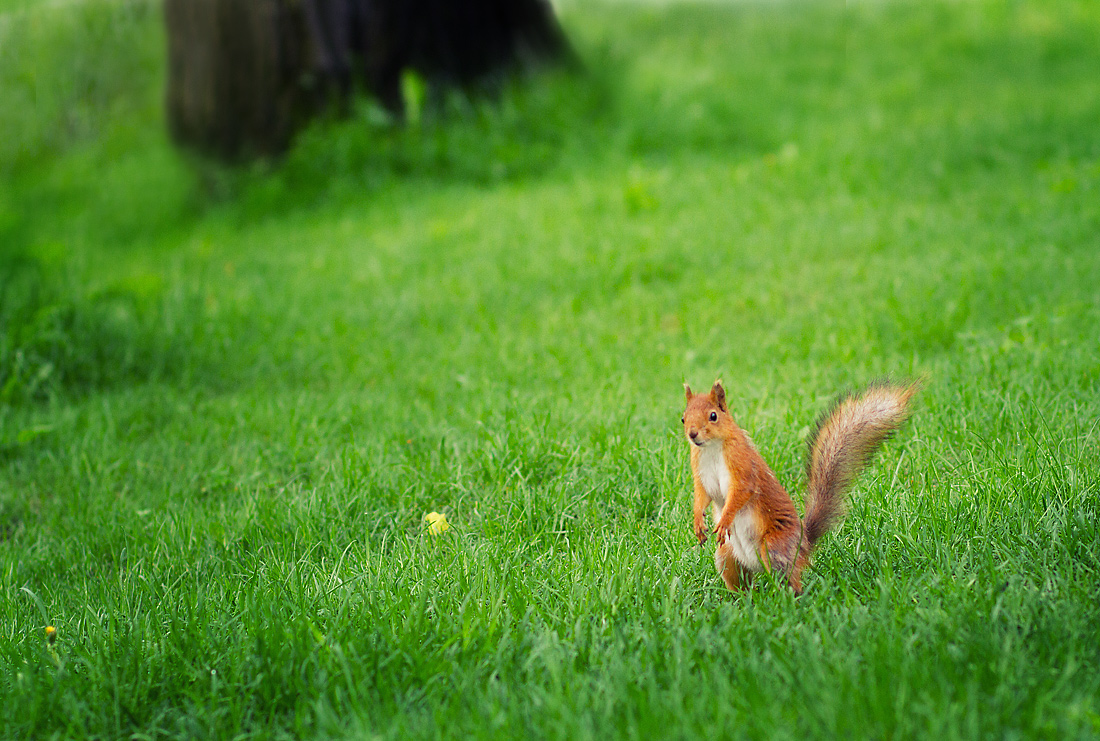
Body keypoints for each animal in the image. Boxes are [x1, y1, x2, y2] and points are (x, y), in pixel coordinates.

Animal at [682, 378, 915, 593]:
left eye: (713, 416)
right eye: (683, 417)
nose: (692, 434)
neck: (711, 448)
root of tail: (802, 545)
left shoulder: (742, 465)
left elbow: (741, 492)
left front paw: (724, 521)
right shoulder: (700, 473)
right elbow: (702, 496)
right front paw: (698, 522)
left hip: (773, 548)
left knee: (790, 580)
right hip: (727, 555)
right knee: (740, 580)